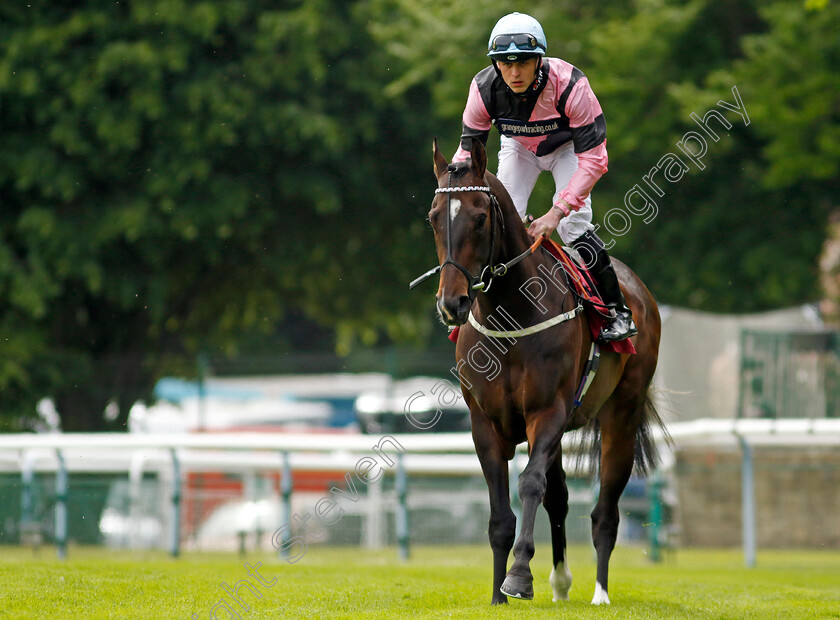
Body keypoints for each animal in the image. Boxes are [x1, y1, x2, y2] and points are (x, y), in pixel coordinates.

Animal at [414, 137, 664, 604]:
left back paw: (600, 593)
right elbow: (501, 513)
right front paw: (497, 594)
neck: (510, 315)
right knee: (561, 496)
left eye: (480, 217)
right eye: (434, 218)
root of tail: (639, 289)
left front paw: (518, 576)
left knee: (605, 510)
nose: (452, 304)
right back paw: (561, 584)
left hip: (621, 413)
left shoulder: (548, 412)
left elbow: (530, 484)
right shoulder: (485, 422)